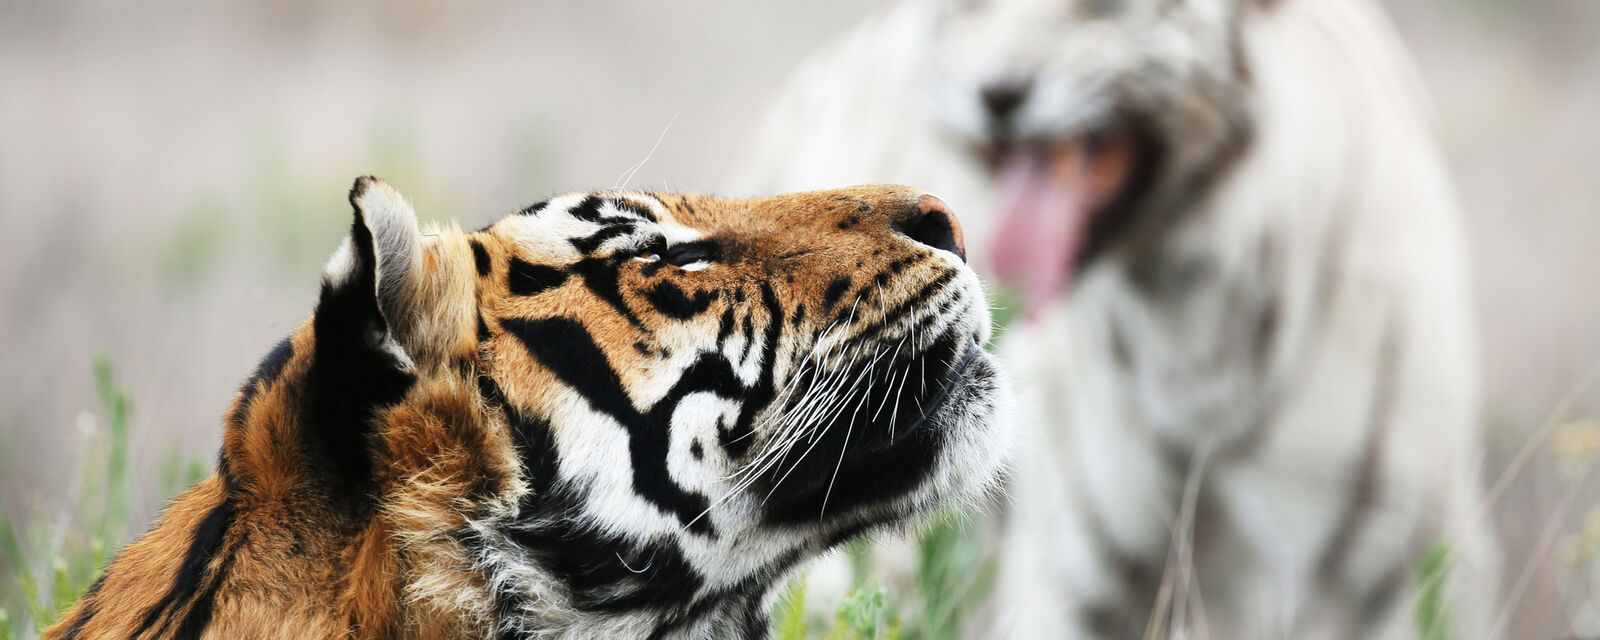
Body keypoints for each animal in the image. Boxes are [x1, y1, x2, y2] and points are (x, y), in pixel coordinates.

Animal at [736, 0, 1497, 633]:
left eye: (1099, 6)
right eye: (972, 5)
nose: (999, 96)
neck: (1189, 326)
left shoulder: (1364, 579)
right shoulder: (1077, 573)